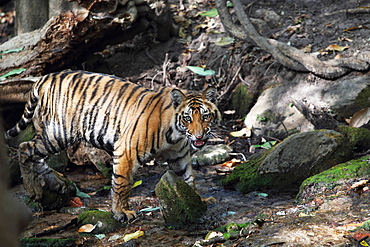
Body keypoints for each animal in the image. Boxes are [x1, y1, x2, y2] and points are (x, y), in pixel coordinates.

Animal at [4, 70, 221, 222]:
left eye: (205, 116)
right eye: (187, 118)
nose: (199, 136)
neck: (176, 134)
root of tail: (46, 77)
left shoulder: (179, 157)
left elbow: (188, 179)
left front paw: (199, 200)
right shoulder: (126, 151)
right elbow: (121, 184)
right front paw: (121, 212)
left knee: (35, 153)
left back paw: (56, 181)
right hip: (60, 133)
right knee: (25, 147)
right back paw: (33, 189)